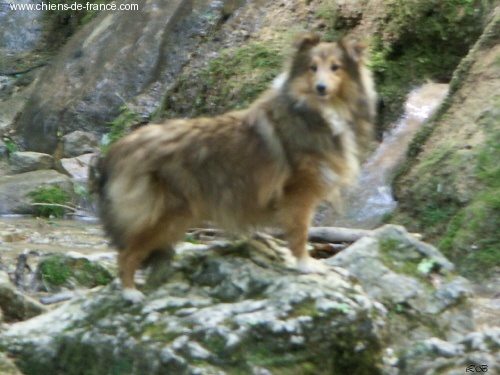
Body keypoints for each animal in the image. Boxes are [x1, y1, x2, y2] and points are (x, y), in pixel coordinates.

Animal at [95, 33, 376, 302]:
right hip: (158, 215)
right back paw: (131, 293)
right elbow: (299, 234)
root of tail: (118, 148)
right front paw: (306, 265)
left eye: (336, 67)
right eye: (312, 68)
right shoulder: (298, 194)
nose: (321, 88)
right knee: (125, 254)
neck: (313, 111)